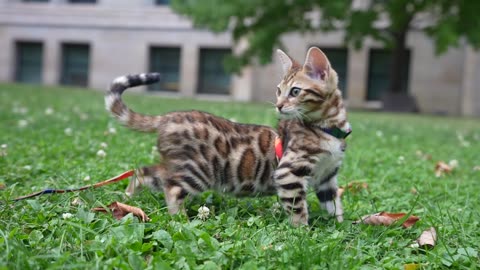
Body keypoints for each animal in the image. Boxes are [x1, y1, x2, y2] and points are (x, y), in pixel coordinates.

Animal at [105, 47, 350, 226]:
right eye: (279, 90)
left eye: (295, 91)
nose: (279, 106)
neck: (328, 129)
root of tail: (167, 117)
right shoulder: (288, 172)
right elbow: (298, 209)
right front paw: (302, 234)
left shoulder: (327, 177)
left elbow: (335, 205)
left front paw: (341, 228)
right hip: (198, 170)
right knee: (172, 188)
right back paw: (181, 220)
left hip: (177, 166)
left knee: (143, 172)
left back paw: (126, 200)